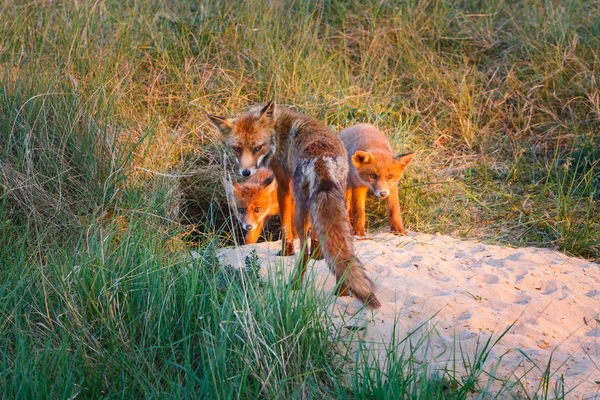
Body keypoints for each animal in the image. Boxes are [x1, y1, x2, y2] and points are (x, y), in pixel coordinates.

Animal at [209, 101, 382, 308]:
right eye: (237, 148)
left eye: (257, 148)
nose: (245, 172)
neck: (277, 132)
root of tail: (321, 158)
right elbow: (317, 236)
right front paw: (318, 253)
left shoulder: (284, 183)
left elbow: (286, 225)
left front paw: (286, 251)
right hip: (338, 205)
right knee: (342, 251)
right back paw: (342, 291)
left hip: (302, 209)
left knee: (303, 252)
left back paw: (295, 284)